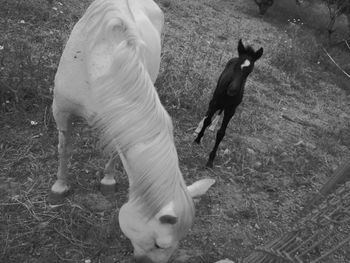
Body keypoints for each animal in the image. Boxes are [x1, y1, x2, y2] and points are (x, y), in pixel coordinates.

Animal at [49, 0, 213, 263]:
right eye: (159, 244)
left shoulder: (119, 121)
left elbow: (115, 154)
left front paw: (107, 182)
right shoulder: (61, 111)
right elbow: (65, 148)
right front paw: (60, 187)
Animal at [194, 39, 262, 167]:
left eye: (249, 71)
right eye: (236, 66)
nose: (232, 91)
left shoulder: (231, 110)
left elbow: (221, 133)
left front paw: (211, 160)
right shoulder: (215, 102)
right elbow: (207, 120)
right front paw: (198, 139)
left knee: (220, 111)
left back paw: (213, 126)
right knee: (209, 112)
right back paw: (199, 127)